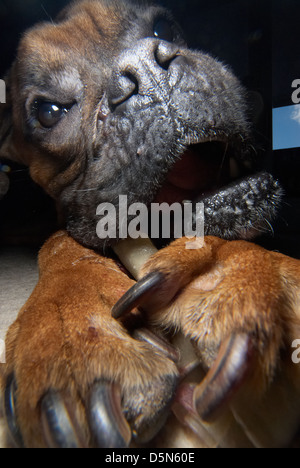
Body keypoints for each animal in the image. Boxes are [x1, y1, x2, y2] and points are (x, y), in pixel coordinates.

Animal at [0, 0, 300, 448]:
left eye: (162, 27)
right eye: (48, 112)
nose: (147, 71)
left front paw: (234, 271)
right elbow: (61, 242)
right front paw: (69, 330)